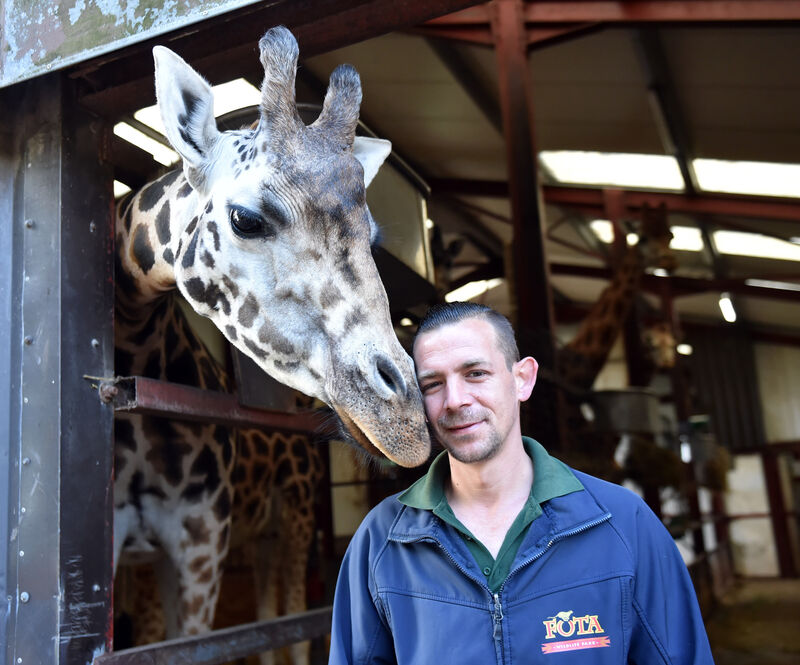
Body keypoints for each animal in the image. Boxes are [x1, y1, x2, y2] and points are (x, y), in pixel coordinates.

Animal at [113, 26, 430, 641]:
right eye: (246, 219)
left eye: (372, 234)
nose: (406, 422)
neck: (133, 341)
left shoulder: (201, 542)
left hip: (290, 522)